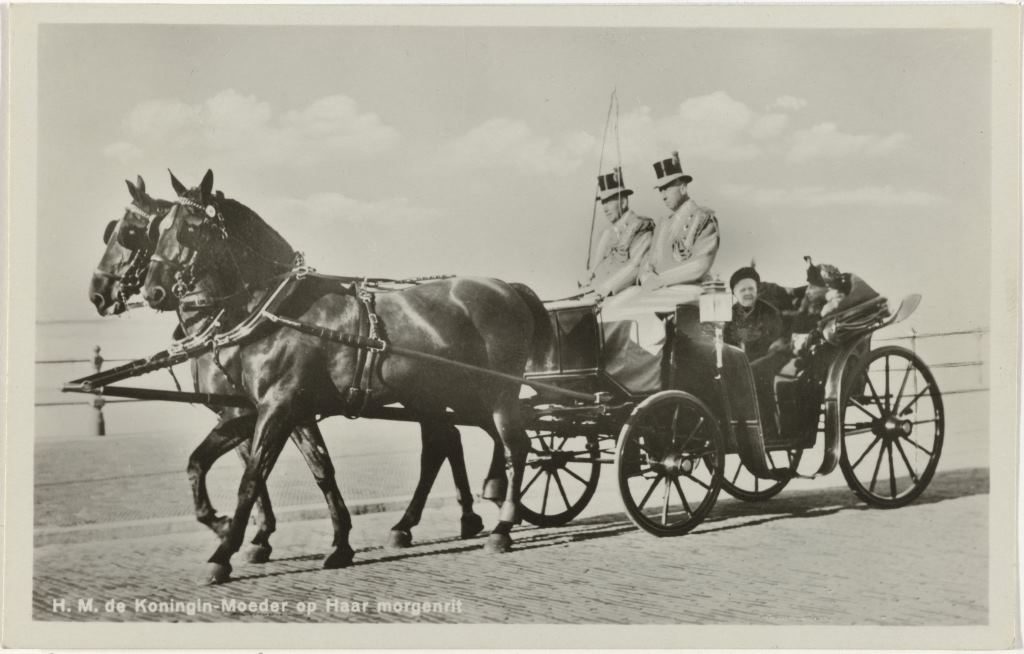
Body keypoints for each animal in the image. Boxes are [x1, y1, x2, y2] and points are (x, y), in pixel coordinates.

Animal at [143, 171, 548, 585]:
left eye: (191, 228)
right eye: (158, 228)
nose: (151, 291)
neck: (279, 310)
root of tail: (506, 287)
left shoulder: (279, 407)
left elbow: (252, 478)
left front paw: (223, 553)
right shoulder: (258, 411)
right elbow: (213, 463)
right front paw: (335, 543)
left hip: (496, 391)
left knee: (515, 444)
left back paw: (501, 527)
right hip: (451, 397)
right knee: (457, 442)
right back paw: (443, 515)